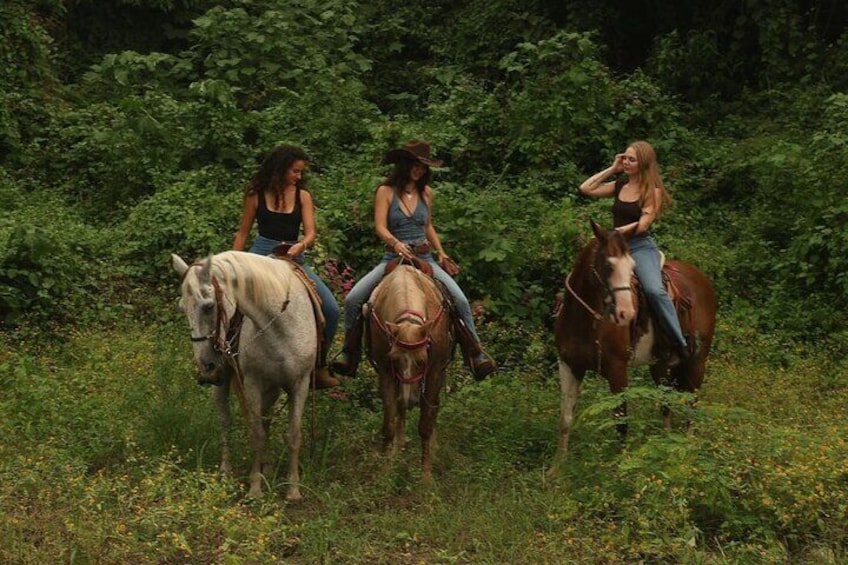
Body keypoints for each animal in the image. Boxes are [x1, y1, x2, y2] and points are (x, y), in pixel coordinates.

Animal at [172, 251, 318, 498]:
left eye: (209, 306)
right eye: (183, 308)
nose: (206, 366)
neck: (279, 322)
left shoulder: (300, 383)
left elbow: (293, 434)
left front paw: (293, 489)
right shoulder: (252, 383)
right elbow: (256, 434)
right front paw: (255, 488)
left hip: (272, 388)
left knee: (267, 419)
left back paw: (267, 467)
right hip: (224, 384)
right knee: (226, 422)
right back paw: (226, 471)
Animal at [366, 264, 454, 480]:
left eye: (422, 361)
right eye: (394, 359)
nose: (409, 400)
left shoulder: (434, 372)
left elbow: (425, 425)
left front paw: (426, 475)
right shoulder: (386, 372)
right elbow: (389, 423)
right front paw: (384, 472)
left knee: (433, 408)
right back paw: (399, 447)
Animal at [548, 220, 716, 472]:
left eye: (632, 267)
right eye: (608, 265)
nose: (626, 313)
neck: (584, 320)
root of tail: (703, 280)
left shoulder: (617, 370)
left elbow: (621, 418)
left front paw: (623, 465)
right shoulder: (568, 365)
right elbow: (566, 418)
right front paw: (556, 468)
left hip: (697, 361)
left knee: (692, 403)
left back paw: (687, 450)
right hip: (660, 365)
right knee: (666, 401)